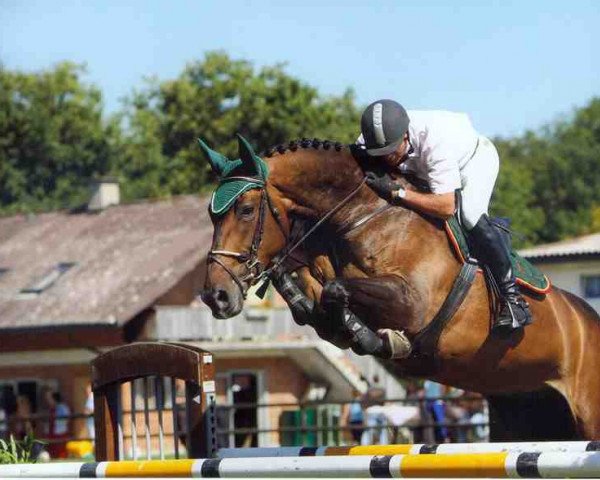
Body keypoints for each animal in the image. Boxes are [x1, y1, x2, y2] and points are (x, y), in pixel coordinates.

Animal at [200, 134, 600, 438]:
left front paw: (377, 338)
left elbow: (336, 291)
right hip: (523, 410)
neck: (363, 218)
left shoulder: (412, 302)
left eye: (246, 210)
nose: (215, 296)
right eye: (211, 216)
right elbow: (318, 300)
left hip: (587, 414)